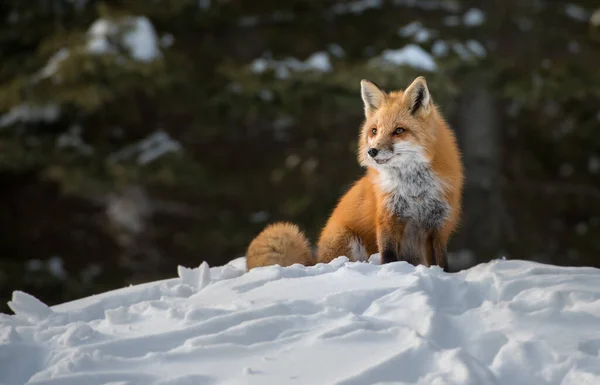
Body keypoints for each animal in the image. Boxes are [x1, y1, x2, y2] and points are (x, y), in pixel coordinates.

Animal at [244, 76, 464, 272]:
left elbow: (442, 264)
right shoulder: (387, 218)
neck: (414, 190)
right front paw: (392, 272)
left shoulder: (438, 226)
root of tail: (316, 260)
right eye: (374, 131)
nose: (372, 151)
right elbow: (389, 256)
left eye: (399, 130)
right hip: (351, 242)